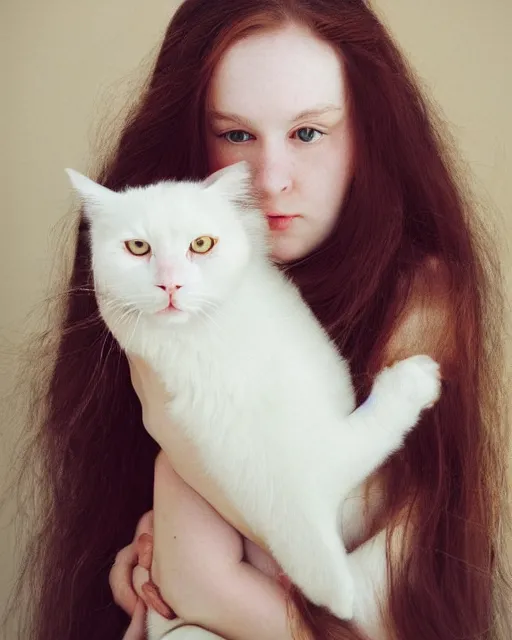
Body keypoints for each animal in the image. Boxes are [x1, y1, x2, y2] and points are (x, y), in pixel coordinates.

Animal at [66, 162, 442, 628]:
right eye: (138, 248)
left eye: (201, 244)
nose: (170, 285)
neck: (215, 336)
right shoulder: (285, 473)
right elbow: (347, 470)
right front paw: (416, 381)